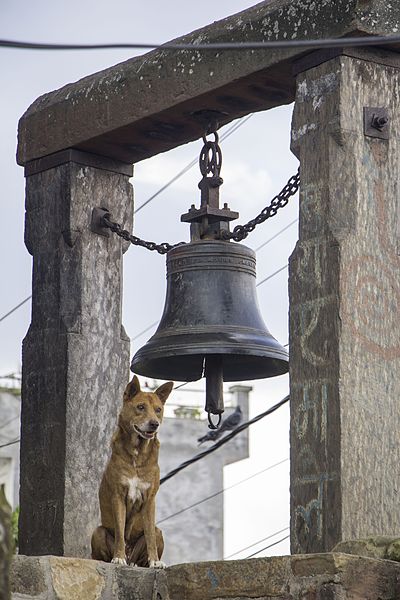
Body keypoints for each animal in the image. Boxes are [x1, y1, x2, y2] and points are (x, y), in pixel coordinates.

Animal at [92, 376, 173, 568]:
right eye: (141, 407)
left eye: (158, 410)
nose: (154, 424)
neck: (138, 453)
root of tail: (132, 559)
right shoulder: (118, 496)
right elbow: (120, 531)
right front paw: (118, 557)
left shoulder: (150, 499)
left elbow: (149, 534)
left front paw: (155, 561)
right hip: (98, 532)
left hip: (159, 533)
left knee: (153, 535)